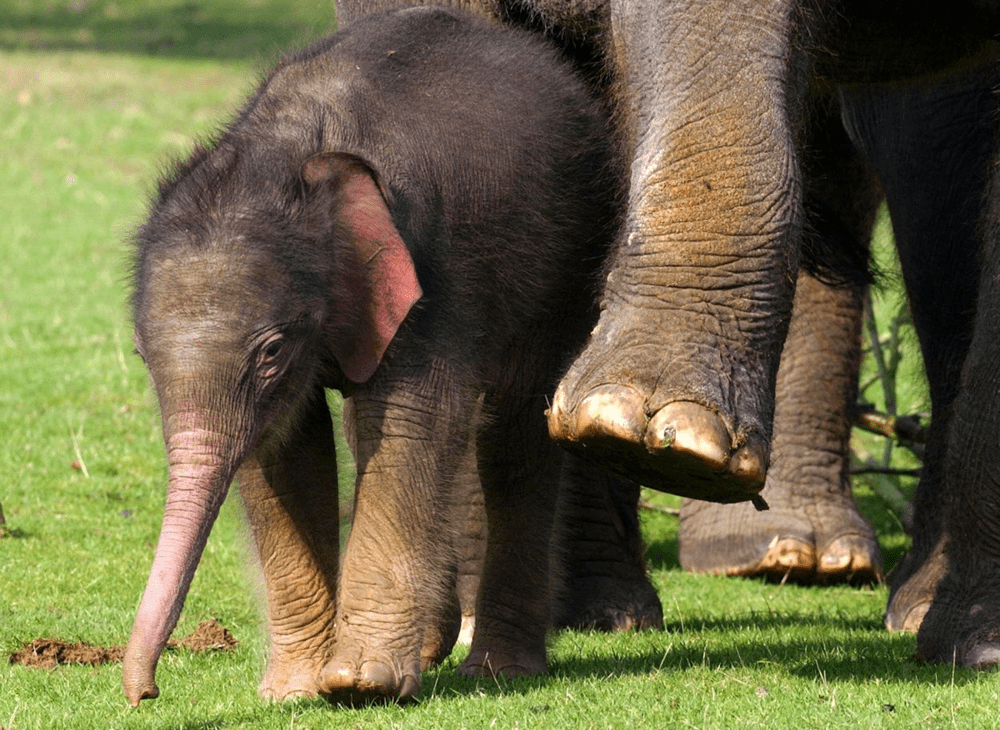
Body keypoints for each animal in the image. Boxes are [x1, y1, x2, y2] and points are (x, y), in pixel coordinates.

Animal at [124, 7, 620, 704]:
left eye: (272, 351)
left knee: (514, 432)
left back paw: (500, 669)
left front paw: (361, 684)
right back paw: (434, 646)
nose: (146, 692)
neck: (288, 151)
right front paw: (292, 691)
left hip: (571, 256)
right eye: (142, 355)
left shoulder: (430, 269)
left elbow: (413, 417)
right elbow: (280, 452)